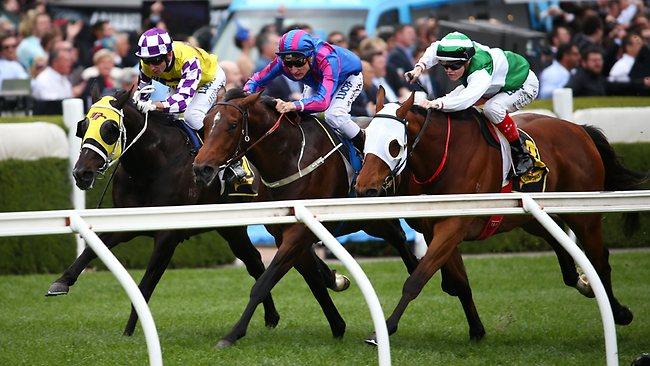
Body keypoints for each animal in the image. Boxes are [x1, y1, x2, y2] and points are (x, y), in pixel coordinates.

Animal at [44, 90, 280, 336]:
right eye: (83, 126)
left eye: (110, 129)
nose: (82, 173)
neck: (150, 167)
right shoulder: (129, 221)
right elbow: (91, 249)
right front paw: (61, 282)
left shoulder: (169, 235)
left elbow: (145, 285)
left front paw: (129, 331)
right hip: (231, 229)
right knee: (253, 260)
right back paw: (271, 316)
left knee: (258, 259)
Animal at [190, 88, 488, 346]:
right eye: (204, 124)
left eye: (231, 125)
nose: (202, 168)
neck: (291, 156)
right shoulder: (285, 233)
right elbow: (312, 280)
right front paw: (337, 318)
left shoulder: (299, 233)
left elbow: (265, 281)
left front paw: (232, 334)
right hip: (374, 222)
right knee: (403, 243)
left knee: (409, 245)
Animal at [354, 86, 644, 344]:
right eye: (365, 139)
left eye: (393, 145)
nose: (364, 188)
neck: (442, 158)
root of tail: (580, 129)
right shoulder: (433, 228)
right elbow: (459, 282)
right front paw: (476, 330)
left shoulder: (453, 225)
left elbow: (417, 279)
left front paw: (384, 330)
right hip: (528, 217)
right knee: (561, 247)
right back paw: (582, 282)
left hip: (585, 216)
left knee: (600, 260)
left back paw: (619, 312)